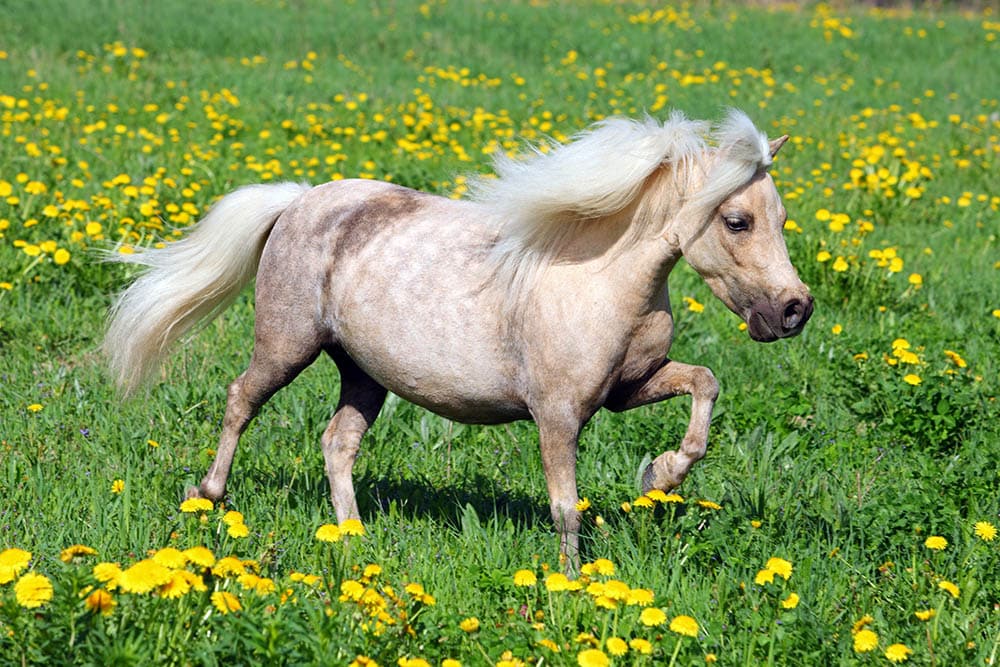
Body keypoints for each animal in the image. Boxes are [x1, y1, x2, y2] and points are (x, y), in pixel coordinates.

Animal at [105, 109, 813, 568]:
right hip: (286, 344)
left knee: (337, 443)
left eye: (780, 218)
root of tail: (300, 201)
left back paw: (355, 538)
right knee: (240, 401)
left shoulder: (628, 389)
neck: (596, 278)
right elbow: (566, 507)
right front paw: (573, 584)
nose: (794, 311)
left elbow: (705, 385)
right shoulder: (557, 415)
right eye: (737, 220)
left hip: (363, 373)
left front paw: (659, 477)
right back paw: (207, 498)